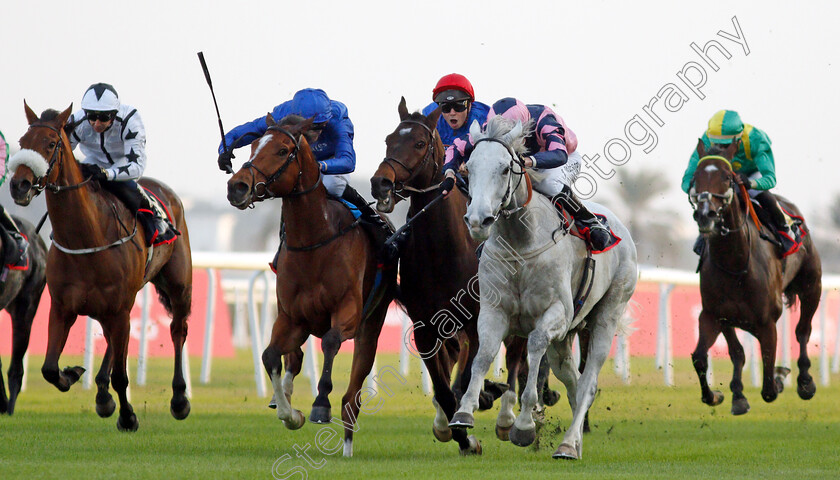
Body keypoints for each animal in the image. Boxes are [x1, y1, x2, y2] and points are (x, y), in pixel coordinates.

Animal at [9, 102, 193, 432]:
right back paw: (102, 395)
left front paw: (129, 416)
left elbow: (122, 375)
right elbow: (49, 369)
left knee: (177, 330)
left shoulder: (119, 308)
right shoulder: (63, 307)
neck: (87, 235)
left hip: (178, 286)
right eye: (22, 142)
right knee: (110, 341)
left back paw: (179, 399)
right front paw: (73, 374)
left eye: (51, 144)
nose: (20, 185)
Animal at [226, 112, 398, 458]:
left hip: (372, 322)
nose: (237, 186)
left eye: (282, 150)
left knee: (352, 395)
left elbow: (330, 342)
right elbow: (269, 355)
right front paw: (290, 413)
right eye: (252, 145)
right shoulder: (291, 316)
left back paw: (346, 443)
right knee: (293, 358)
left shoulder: (348, 312)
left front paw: (320, 404)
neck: (314, 241)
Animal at [446, 116, 636, 462]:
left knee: (588, 382)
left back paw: (568, 445)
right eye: (470, 168)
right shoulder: (494, 311)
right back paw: (573, 442)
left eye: (505, 169)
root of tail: (622, 228)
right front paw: (464, 412)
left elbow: (533, 347)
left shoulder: (556, 314)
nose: (478, 221)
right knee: (574, 381)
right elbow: (484, 355)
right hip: (563, 341)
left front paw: (523, 425)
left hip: (608, 314)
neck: (520, 243)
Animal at [688, 141, 820, 414]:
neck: (737, 263)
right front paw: (724, 395)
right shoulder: (715, 315)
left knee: (803, 331)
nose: (706, 214)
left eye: (727, 177)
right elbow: (706, 357)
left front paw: (780, 378)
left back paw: (805, 381)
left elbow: (769, 384)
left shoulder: (767, 322)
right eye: (696, 177)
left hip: (813, 286)